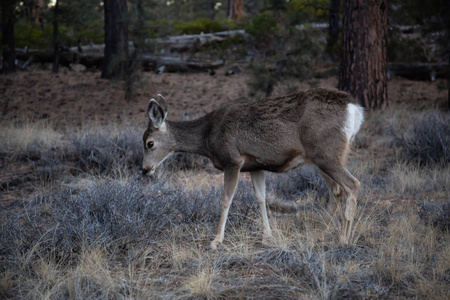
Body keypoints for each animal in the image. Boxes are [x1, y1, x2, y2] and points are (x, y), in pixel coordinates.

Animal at [142, 88, 364, 248]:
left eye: (149, 143)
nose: (145, 169)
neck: (207, 136)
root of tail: (354, 109)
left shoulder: (233, 160)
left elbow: (226, 199)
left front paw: (216, 240)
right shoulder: (256, 165)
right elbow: (261, 198)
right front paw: (268, 236)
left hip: (326, 153)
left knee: (353, 184)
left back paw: (343, 239)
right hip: (319, 158)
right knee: (336, 191)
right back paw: (320, 234)